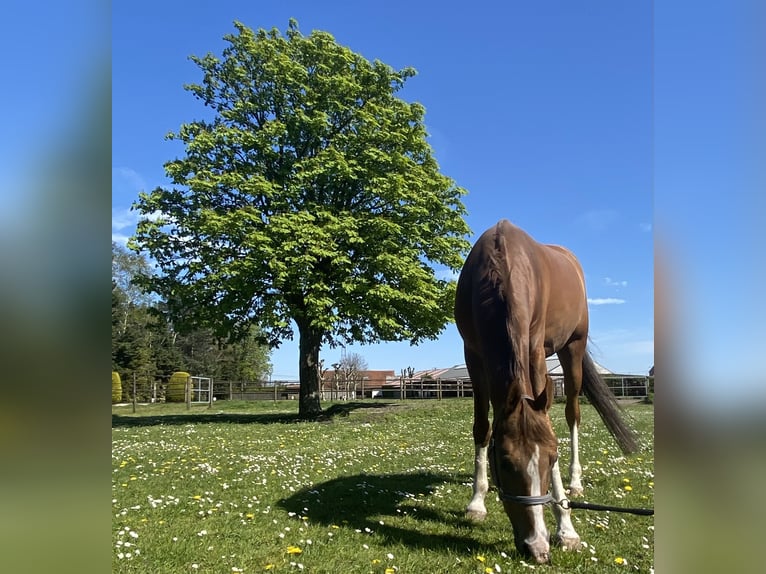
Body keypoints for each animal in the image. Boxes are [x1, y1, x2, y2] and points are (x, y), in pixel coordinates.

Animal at [452, 220, 640, 568]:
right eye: (505, 463)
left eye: (552, 456)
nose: (537, 547)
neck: (503, 264)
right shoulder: (473, 354)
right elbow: (482, 429)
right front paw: (477, 502)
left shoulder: (536, 349)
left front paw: (566, 528)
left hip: (572, 349)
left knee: (572, 414)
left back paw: (576, 482)